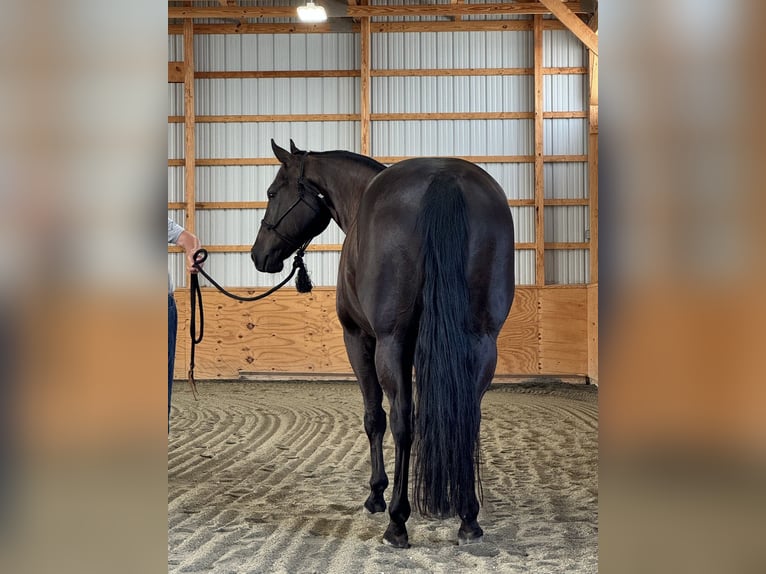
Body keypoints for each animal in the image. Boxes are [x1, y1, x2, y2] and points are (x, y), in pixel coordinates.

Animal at [252, 141, 516, 548]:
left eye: (271, 193)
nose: (258, 254)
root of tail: (443, 179)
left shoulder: (360, 338)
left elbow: (374, 417)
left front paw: (377, 494)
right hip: (483, 343)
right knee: (467, 418)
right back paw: (468, 516)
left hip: (391, 345)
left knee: (402, 421)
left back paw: (397, 520)